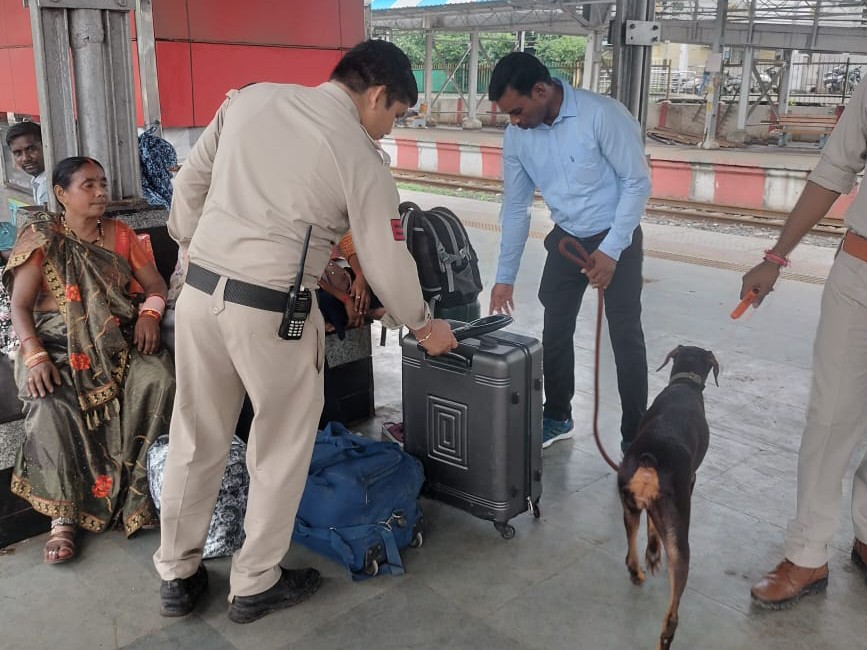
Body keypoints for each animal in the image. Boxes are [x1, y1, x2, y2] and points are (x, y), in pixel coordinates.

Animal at [617, 345, 719, 650]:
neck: (684, 383)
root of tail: (649, 459)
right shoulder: (690, 482)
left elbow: (651, 528)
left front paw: (652, 554)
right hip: (679, 531)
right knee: (672, 616)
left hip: (629, 505)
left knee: (630, 553)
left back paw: (638, 571)